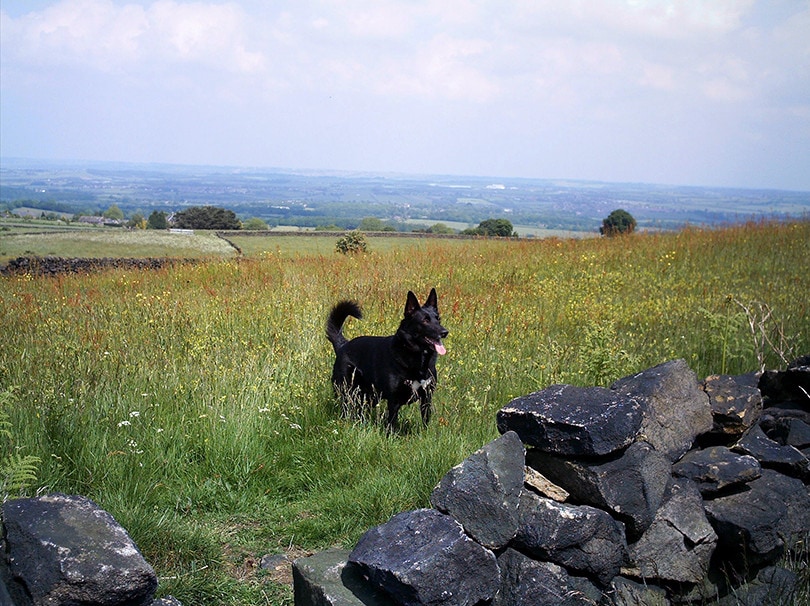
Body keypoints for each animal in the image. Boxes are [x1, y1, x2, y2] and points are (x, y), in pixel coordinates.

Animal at [326, 292, 448, 430]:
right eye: (425, 320)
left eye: (438, 319)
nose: (445, 332)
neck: (417, 357)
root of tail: (343, 345)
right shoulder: (394, 400)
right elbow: (391, 424)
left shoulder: (427, 397)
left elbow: (425, 421)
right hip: (346, 391)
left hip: (368, 396)